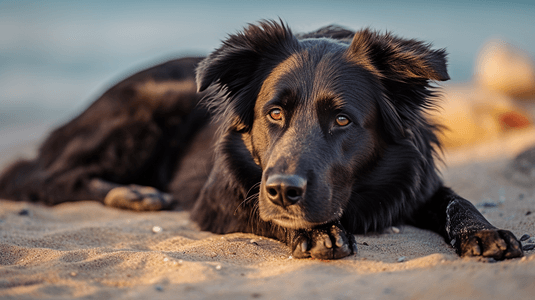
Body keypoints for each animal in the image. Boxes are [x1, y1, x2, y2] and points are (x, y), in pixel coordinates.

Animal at [0, 20, 524, 260]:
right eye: (274, 113)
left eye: (342, 120)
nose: (284, 191)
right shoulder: (219, 196)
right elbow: (258, 208)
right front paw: (315, 231)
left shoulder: (415, 180)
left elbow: (456, 199)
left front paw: (483, 232)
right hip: (153, 102)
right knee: (46, 178)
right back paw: (132, 192)